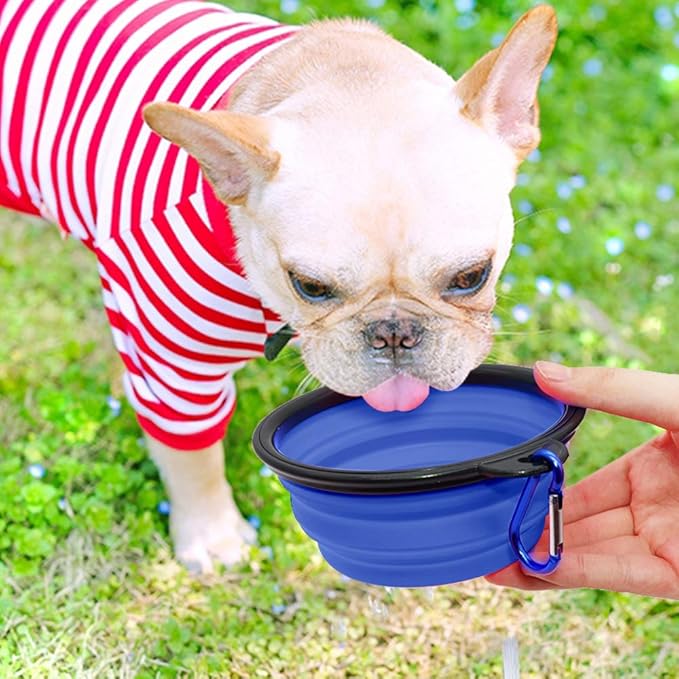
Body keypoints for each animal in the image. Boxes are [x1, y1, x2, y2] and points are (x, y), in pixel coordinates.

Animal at [1, 0, 556, 572]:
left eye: (472, 276)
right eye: (310, 286)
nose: (393, 333)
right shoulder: (175, 358)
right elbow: (191, 451)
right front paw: (212, 534)